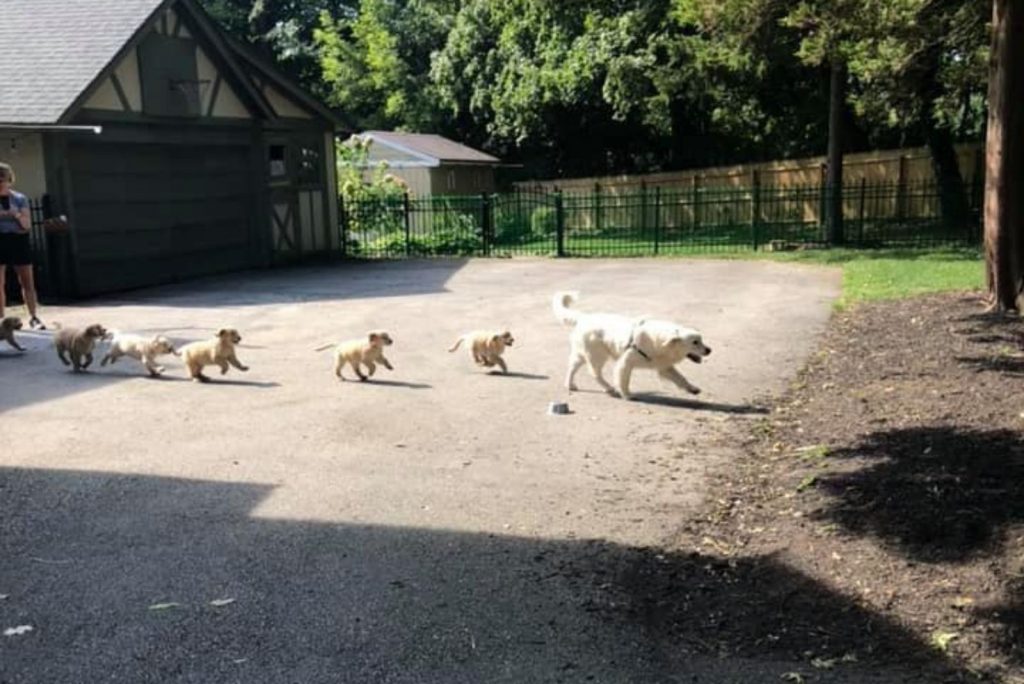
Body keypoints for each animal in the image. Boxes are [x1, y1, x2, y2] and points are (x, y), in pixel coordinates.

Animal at [552, 290, 712, 401]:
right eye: (695, 342)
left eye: (701, 339)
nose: (709, 350)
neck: (658, 341)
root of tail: (584, 317)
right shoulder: (625, 363)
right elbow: (624, 381)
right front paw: (627, 395)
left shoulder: (664, 366)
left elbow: (681, 378)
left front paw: (692, 389)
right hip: (597, 356)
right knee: (595, 374)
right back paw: (609, 388)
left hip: (583, 354)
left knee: (572, 367)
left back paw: (570, 385)